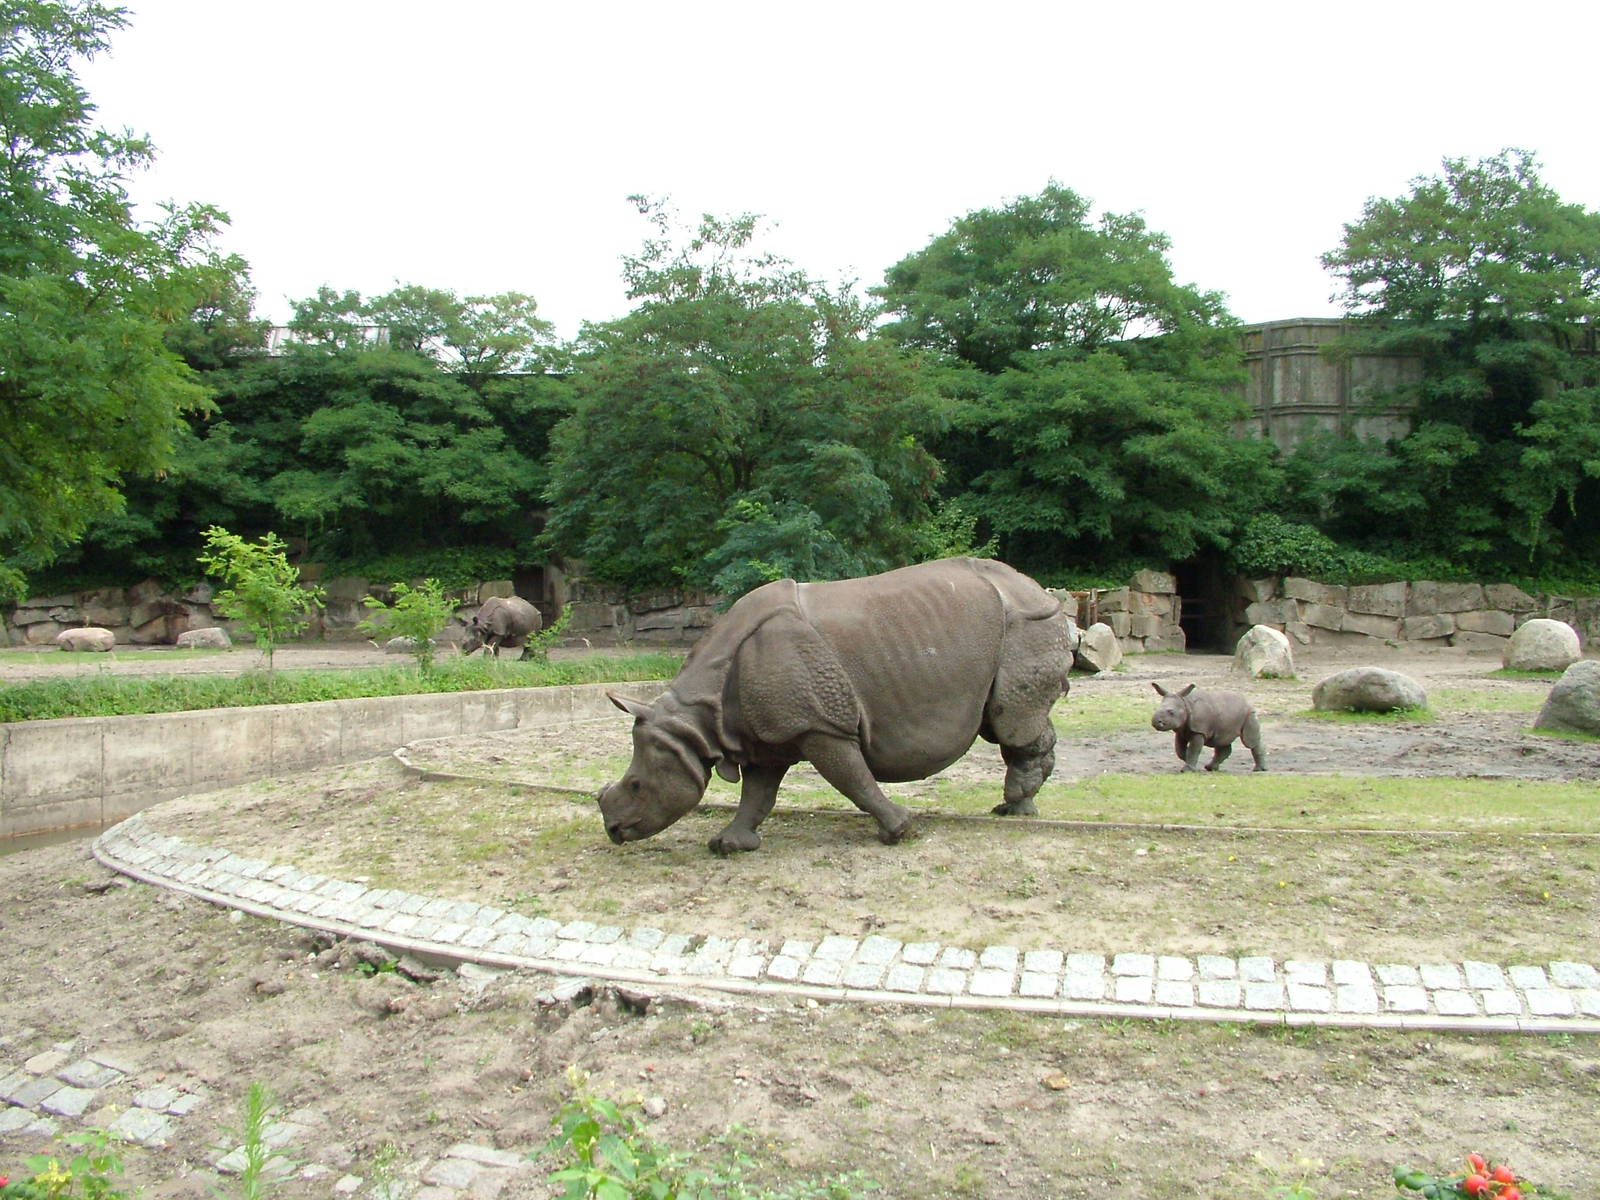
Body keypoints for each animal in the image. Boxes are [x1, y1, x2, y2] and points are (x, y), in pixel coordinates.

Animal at [599, 557, 1075, 854]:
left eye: (637, 785)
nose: (613, 831)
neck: (697, 718)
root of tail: (1041, 591)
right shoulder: (767, 733)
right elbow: (757, 794)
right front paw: (728, 845)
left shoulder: (819, 724)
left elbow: (852, 778)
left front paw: (900, 830)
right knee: (1007, 721)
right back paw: (1016, 809)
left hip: (1026, 622)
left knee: (1013, 722)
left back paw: (1017, 804)